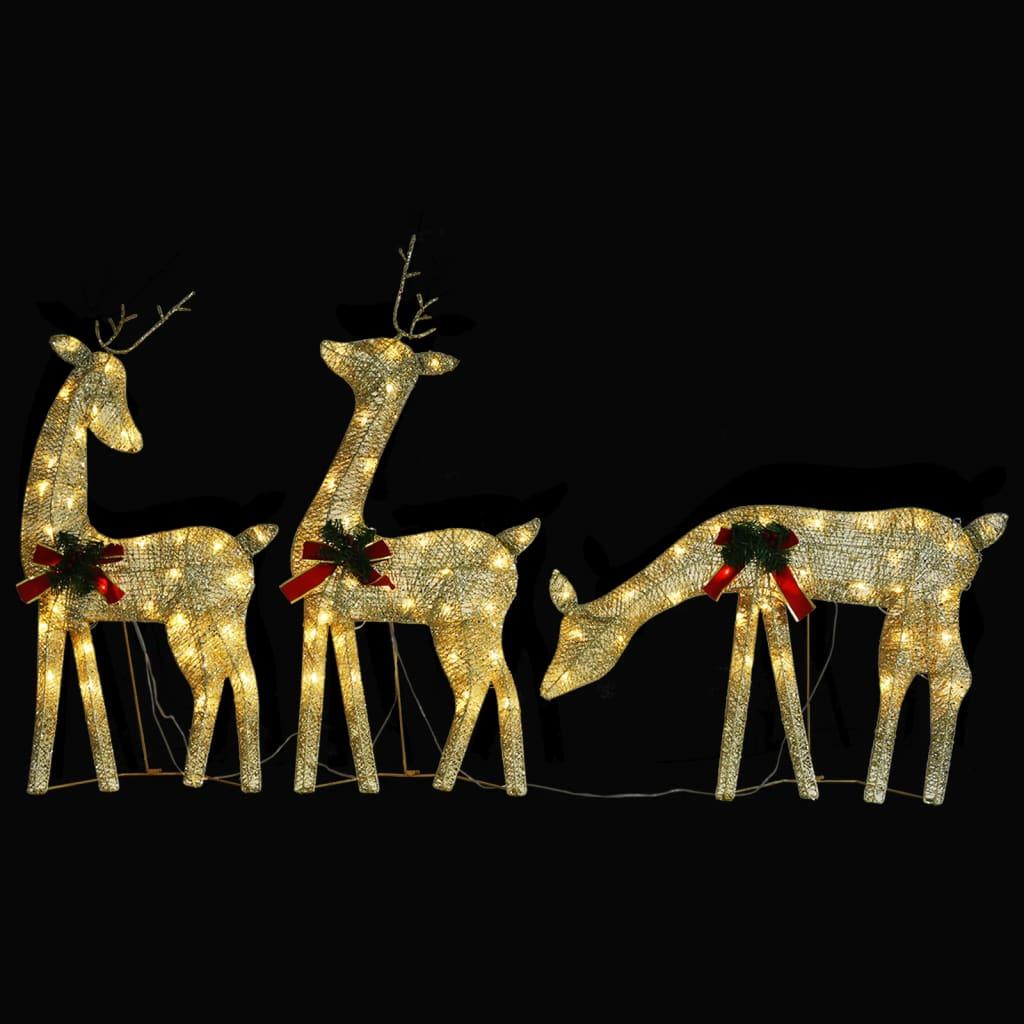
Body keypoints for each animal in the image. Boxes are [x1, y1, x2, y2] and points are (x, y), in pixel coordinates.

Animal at [18, 296, 277, 794]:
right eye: (105, 387)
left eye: (122, 386)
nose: (134, 442)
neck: (59, 530)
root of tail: (243, 545)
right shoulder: (68, 617)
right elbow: (74, 693)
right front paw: (87, 783)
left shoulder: (60, 612)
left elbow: (62, 693)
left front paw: (63, 783)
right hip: (191, 625)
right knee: (213, 680)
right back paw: (195, 777)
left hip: (224, 615)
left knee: (244, 678)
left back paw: (244, 783)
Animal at [284, 236, 539, 796]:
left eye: (375, 350)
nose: (328, 344)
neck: (339, 525)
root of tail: (511, 546)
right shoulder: (334, 614)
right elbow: (334, 688)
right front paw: (341, 783)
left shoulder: (326, 608)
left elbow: (332, 691)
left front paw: (336, 784)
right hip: (467, 626)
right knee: (490, 684)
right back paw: (490, 783)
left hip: (470, 621)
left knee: (489, 682)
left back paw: (459, 782)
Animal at [541, 504, 1007, 805]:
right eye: (561, 636)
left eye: (582, 636)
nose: (546, 689)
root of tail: (972, 537)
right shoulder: (758, 596)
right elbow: (754, 675)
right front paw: (734, 791)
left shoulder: (765, 593)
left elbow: (776, 676)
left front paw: (802, 789)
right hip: (921, 610)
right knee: (925, 674)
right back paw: (896, 790)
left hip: (928, 604)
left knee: (938, 675)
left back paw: (899, 793)